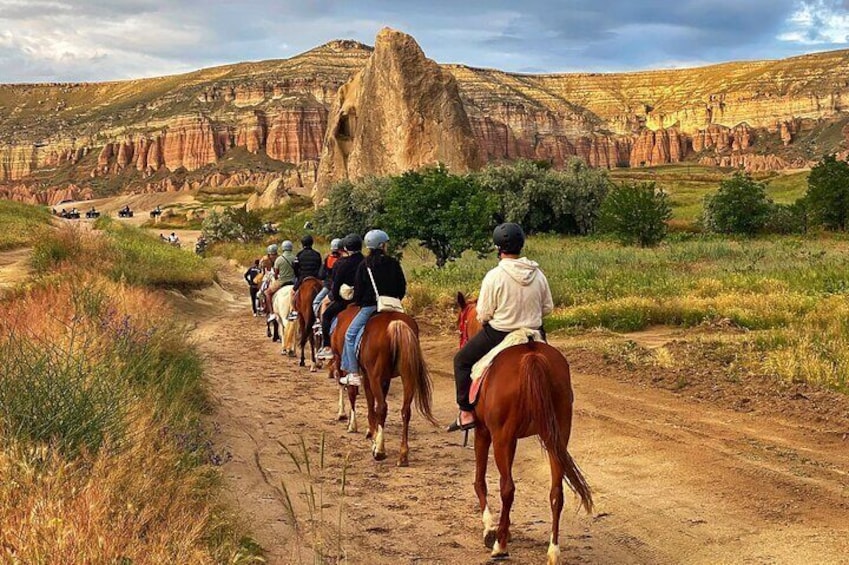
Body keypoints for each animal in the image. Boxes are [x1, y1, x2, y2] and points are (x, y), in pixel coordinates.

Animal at [458, 294, 588, 560]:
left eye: (461, 323)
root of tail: (532, 356)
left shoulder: (484, 432)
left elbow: (479, 481)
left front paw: (490, 529)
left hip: (501, 438)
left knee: (507, 488)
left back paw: (500, 547)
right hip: (556, 436)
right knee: (556, 492)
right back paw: (553, 551)